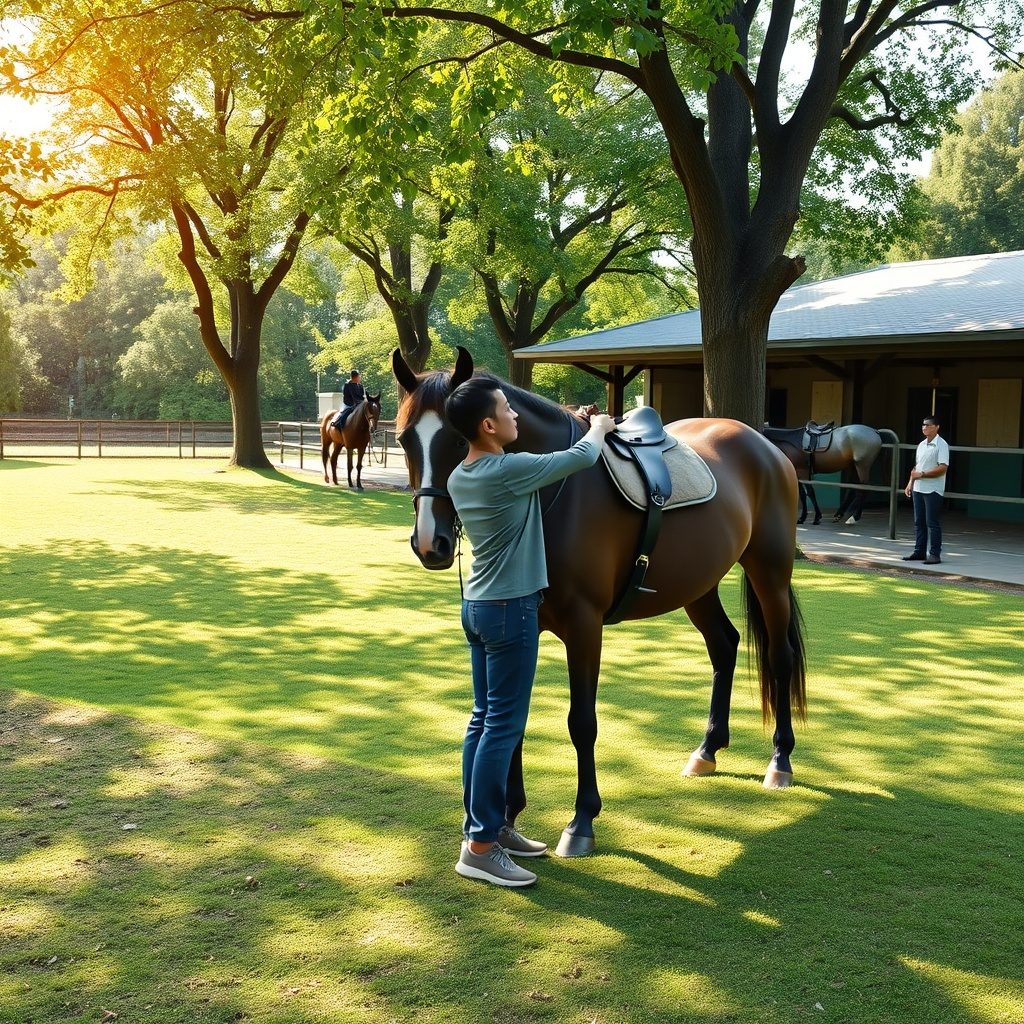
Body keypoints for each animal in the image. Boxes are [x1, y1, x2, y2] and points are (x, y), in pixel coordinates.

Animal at [392, 347, 808, 857]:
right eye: (405, 439)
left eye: (455, 438)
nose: (430, 543)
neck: (553, 490)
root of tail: (766, 447)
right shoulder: (526, 626)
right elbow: (514, 718)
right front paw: (508, 816)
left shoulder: (584, 626)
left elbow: (581, 722)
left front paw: (581, 821)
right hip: (698, 583)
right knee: (723, 647)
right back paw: (707, 750)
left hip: (770, 572)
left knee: (780, 656)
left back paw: (780, 760)